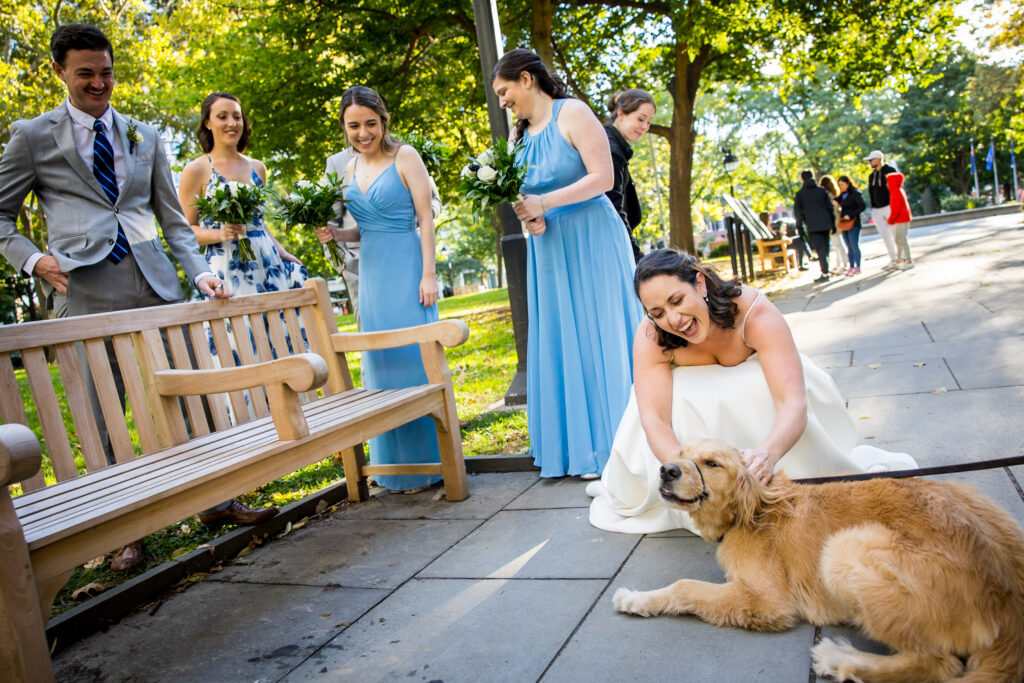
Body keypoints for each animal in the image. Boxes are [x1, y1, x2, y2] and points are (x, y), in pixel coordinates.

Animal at [610, 440, 1019, 679]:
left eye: (711, 463)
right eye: (680, 454)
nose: (667, 469)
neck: (754, 509)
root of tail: (1011, 596)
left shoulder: (766, 602)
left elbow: (685, 587)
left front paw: (636, 599)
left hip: (842, 549)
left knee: (938, 664)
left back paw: (841, 661)